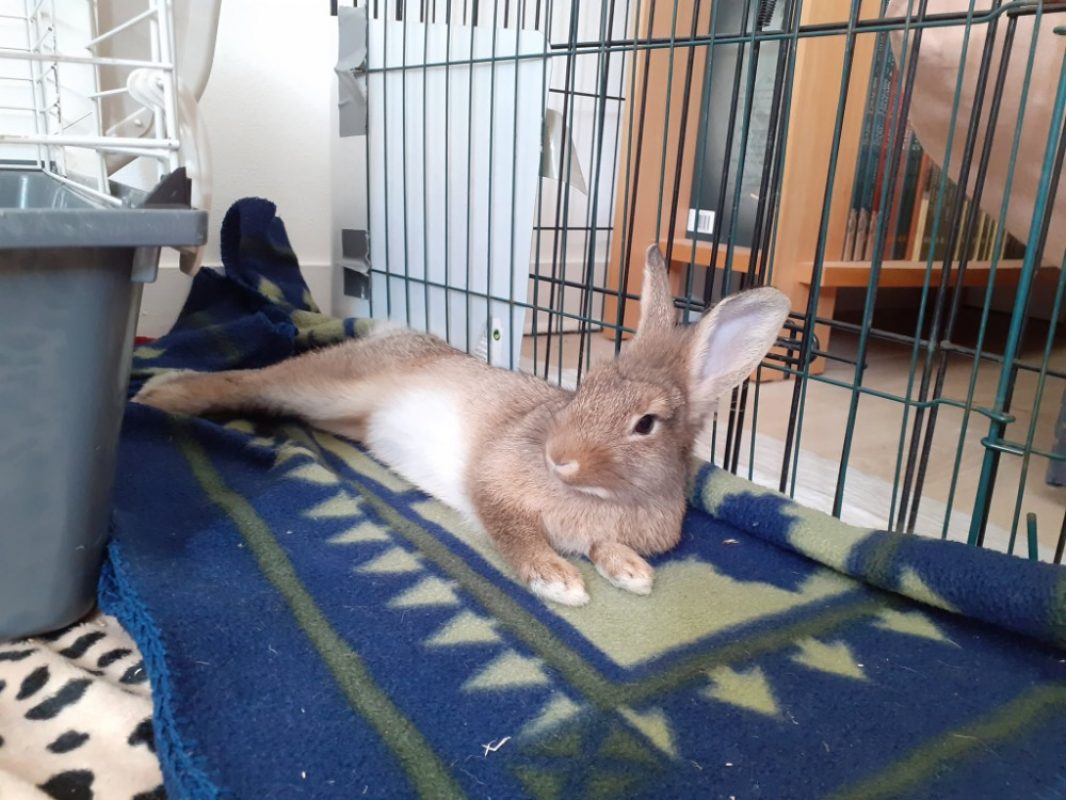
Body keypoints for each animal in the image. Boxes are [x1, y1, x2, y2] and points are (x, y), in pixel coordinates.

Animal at [133, 245, 791, 606]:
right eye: (585, 385)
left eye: (646, 424)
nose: (557, 455)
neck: (601, 494)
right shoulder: (495, 484)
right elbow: (513, 531)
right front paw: (558, 581)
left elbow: (604, 546)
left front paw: (632, 573)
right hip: (327, 383)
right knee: (246, 381)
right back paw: (160, 392)